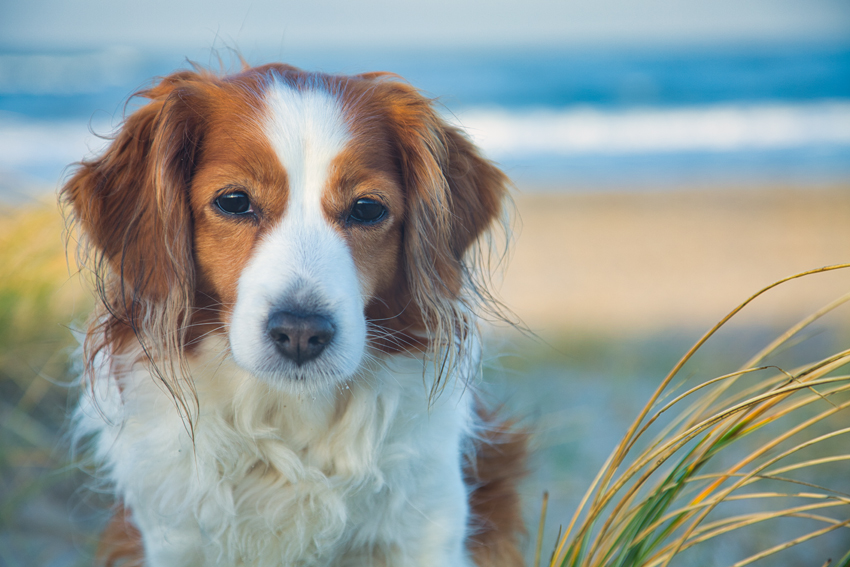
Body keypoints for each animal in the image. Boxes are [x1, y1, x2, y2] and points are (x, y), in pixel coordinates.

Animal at [64, 63, 524, 567]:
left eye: (367, 208)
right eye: (233, 201)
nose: (301, 332)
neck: (287, 416)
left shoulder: (428, 529)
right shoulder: (172, 537)